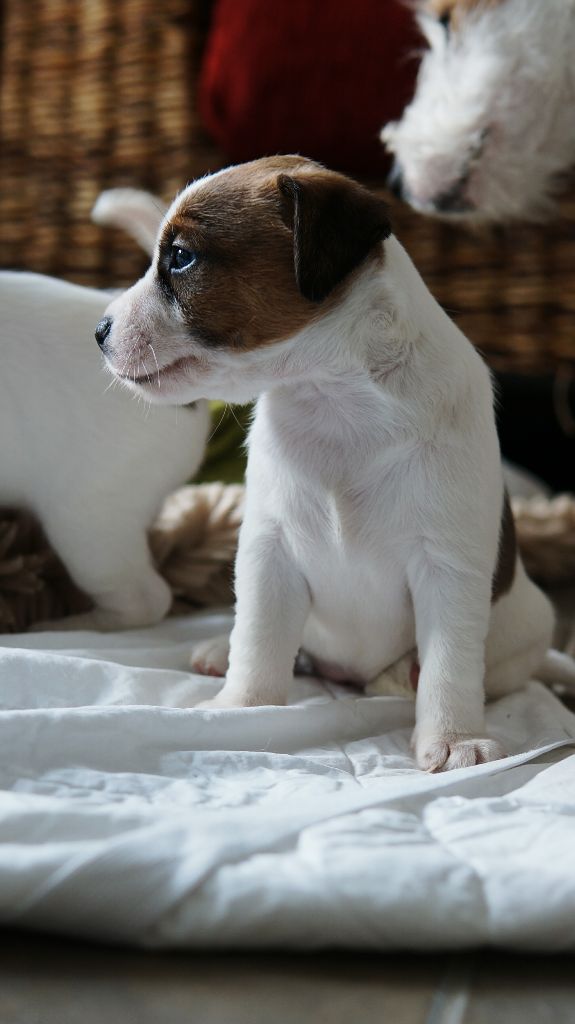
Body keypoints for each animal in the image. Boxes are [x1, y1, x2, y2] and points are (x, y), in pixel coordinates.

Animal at [98, 155, 575, 771]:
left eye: (181, 256)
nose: (99, 332)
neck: (334, 398)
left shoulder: (447, 567)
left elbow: (450, 665)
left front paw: (454, 738)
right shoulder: (269, 550)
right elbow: (258, 638)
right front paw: (242, 706)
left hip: (527, 626)